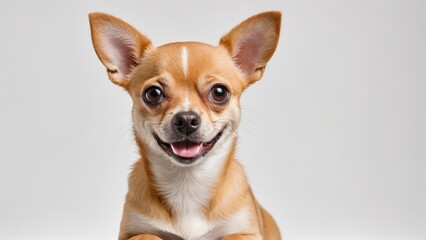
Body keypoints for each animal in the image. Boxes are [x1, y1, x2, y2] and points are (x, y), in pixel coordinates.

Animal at [89, 10, 282, 239]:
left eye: (220, 92)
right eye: (153, 94)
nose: (187, 119)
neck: (187, 183)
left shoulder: (247, 232)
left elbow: (232, 236)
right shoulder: (132, 231)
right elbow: (147, 235)